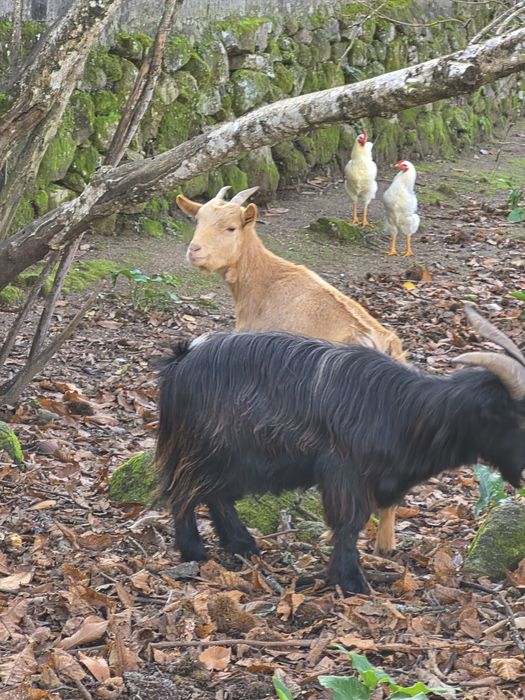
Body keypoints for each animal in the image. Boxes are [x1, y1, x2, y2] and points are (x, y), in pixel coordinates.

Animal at [156, 304, 524, 594]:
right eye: (519, 418)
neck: (405, 410)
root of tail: (182, 358)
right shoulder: (344, 471)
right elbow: (348, 524)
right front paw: (351, 581)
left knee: (215, 495)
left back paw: (242, 545)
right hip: (210, 448)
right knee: (185, 491)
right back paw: (195, 552)